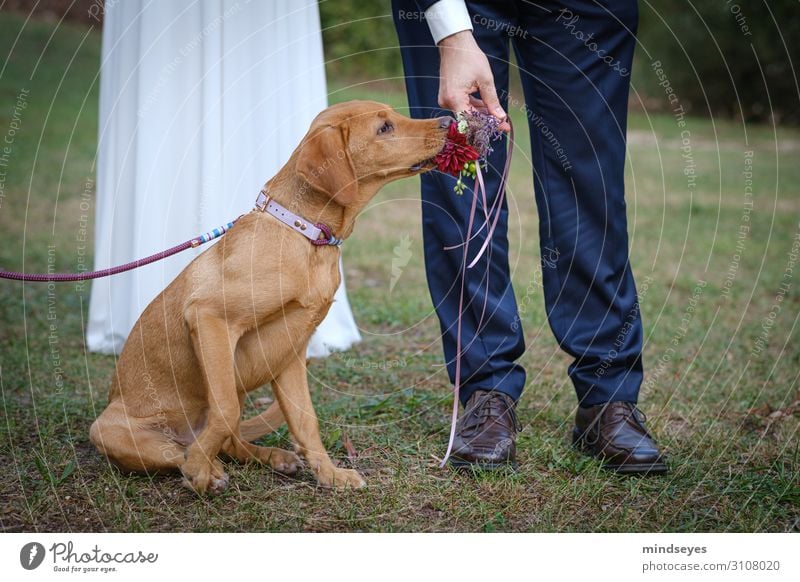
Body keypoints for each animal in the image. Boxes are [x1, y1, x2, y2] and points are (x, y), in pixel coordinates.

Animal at [89, 100, 450, 492]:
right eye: (384, 128)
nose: (448, 121)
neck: (307, 236)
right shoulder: (209, 317)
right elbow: (224, 410)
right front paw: (199, 468)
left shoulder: (291, 351)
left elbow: (306, 421)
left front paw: (330, 474)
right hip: (107, 429)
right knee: (180, 450)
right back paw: (206, 467)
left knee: (230, 441)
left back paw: (270, 457)